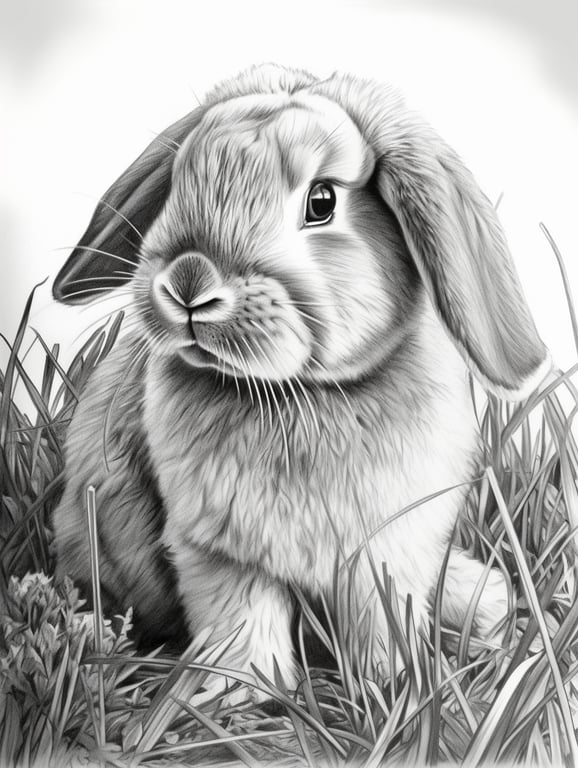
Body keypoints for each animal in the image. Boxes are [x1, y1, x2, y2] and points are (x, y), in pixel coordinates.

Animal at [52, 64, 551, 699]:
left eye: (321, 201)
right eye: (183, 175)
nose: (189, 281)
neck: (305, 394)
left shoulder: (385, 550)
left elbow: (382, 616)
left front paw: (394, 688)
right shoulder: (219, 551)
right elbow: (242, 620)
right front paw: (237, 693)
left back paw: (486, 604)